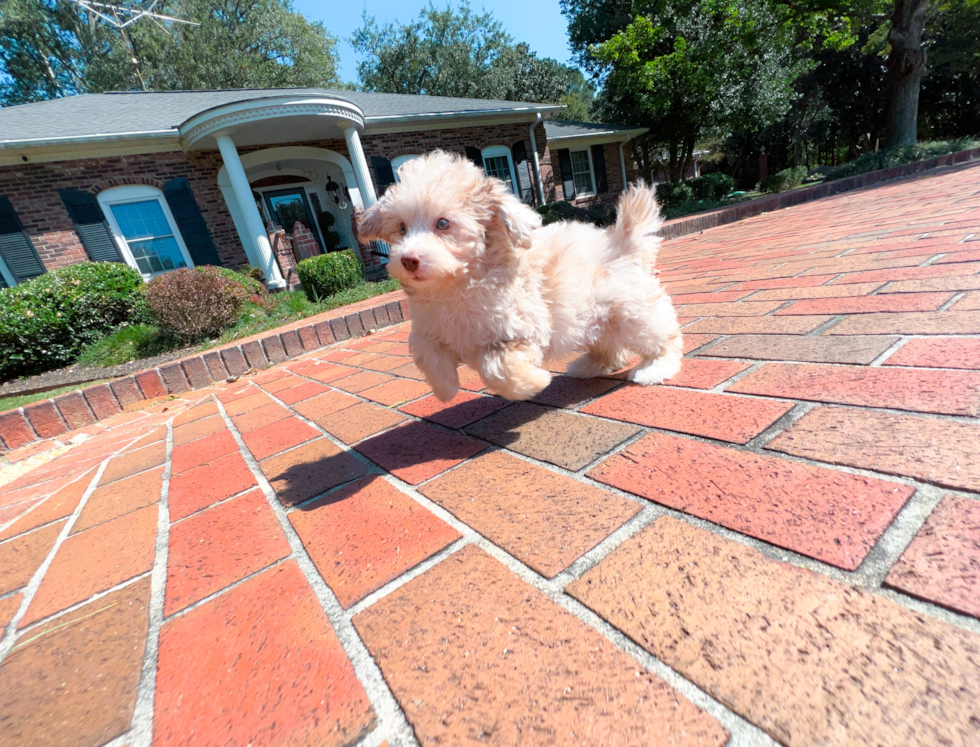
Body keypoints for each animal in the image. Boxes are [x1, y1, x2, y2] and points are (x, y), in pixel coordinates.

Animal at [356, 150, 684, 404]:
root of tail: (622, 244)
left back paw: (654, 369)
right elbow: (425, 352)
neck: (458, 286)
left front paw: (533, 382)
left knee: (663, 338)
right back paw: (589, 365)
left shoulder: (521, 329)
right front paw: (445, 388)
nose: (408, 259)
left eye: (443, 224)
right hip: (595, 317)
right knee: (610, 347)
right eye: (401, 228)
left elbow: (496, 366)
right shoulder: (429, 329)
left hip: (631, 312)